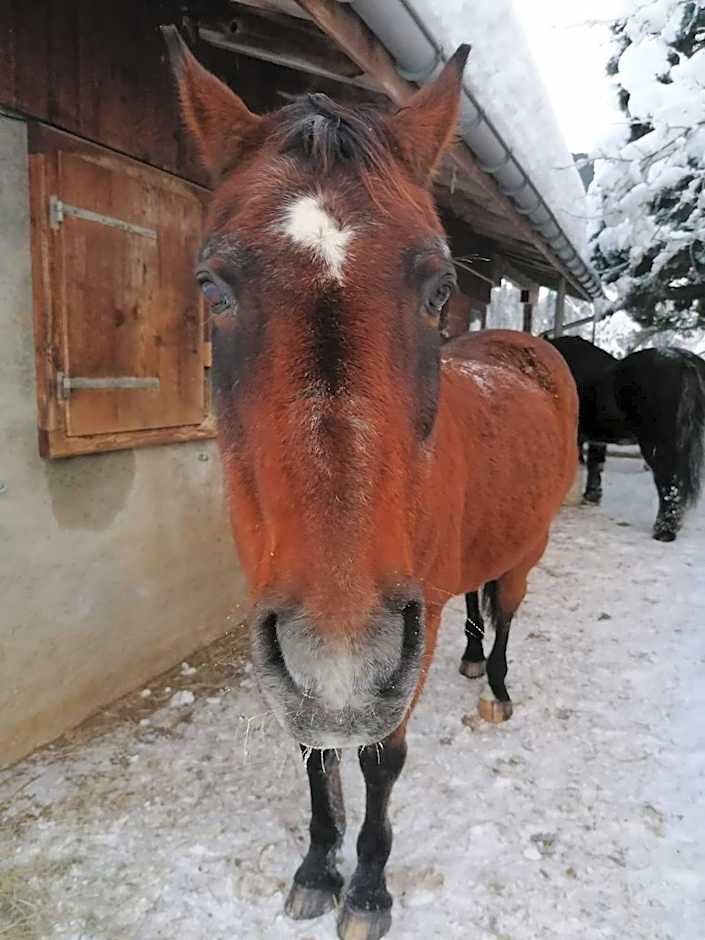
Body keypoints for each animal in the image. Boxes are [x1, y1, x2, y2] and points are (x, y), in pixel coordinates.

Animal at [162, 28, 578, 940]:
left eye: (436, 289)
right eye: (213, 288)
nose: (343, 648)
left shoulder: (398, 643)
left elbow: (381, 756)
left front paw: (368, 888)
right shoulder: (287, 640)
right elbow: (315, 749)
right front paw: (318, 867)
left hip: (524, 550)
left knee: (503, 609)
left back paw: (495, 688)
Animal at [550, 336, 705, 541]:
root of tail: (685, 363)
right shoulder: (597, 438)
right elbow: (595, 465)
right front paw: (591, 497)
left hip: (658, 446)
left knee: (670, 484)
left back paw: (663, 531)